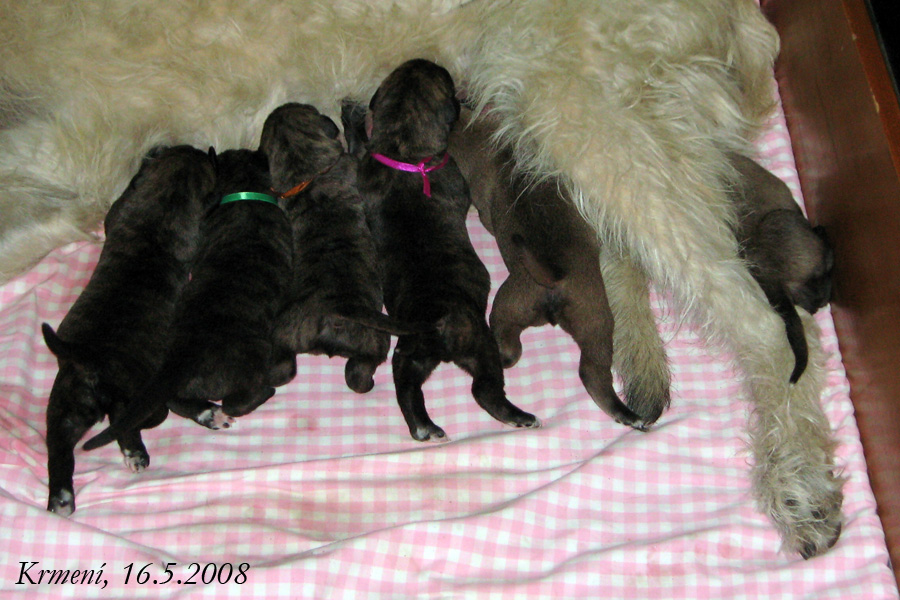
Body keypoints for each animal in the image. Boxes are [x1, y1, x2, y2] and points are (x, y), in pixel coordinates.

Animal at [41, 145, 217, 515]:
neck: (166, 196)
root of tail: (92, 361)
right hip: (139, 393)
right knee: (131, 418)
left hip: (68, 402)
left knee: (59, 446)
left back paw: (61, 496)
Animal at [82, 148, 295, 451]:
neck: (244, 189)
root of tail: (180, 362)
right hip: (251, 361)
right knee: (238, 400)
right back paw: (266, 389)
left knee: (175, 400)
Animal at [261, 102, 426, 394]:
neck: (306, 172)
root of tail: (335, 311)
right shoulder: (354, 161)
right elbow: (357, 144)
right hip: (373, 340)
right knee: (360, 372)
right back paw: (369, 383)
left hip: (283, 335)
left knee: (283, 368)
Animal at [356, 59, 539, 441]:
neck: (403, 151)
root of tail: (435, 319)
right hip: (479, 342)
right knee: (484, 389)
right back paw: (519, 416)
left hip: (409, 353)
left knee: (407, 388)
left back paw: (423, 426)